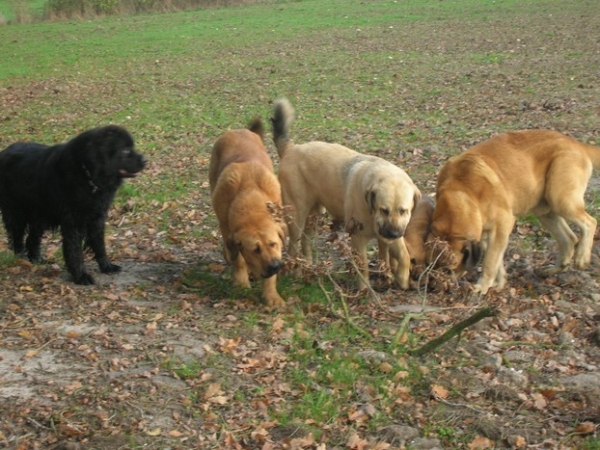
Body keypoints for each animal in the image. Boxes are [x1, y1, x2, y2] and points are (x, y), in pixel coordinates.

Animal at [0, 125, 146, 284]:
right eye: (125, 150)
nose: (145, 160)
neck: (88, 174)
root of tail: (5, 151)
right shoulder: (74, 222)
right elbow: (75, 250)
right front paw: (80, 276)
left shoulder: (97, 217)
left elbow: (99, 245)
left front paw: (106, 266)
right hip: (17, 212)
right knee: (17, 237)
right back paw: (20, 259)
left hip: (40, 215)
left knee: (32, 239)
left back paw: (37, 260)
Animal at [274, 96, 422, 290]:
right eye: (384, 210)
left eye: (404, 211)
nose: (392, 234)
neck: (371, 210)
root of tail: (291, 148)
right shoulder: (359, 238)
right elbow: (364, 266)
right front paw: (365, 291)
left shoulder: (394, 233)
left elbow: (403, 256)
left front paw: (401, 279)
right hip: (297, 216)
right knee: (293, 246)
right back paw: (296, 274)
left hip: (315, 214)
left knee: (306, 242)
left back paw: (308, 268)